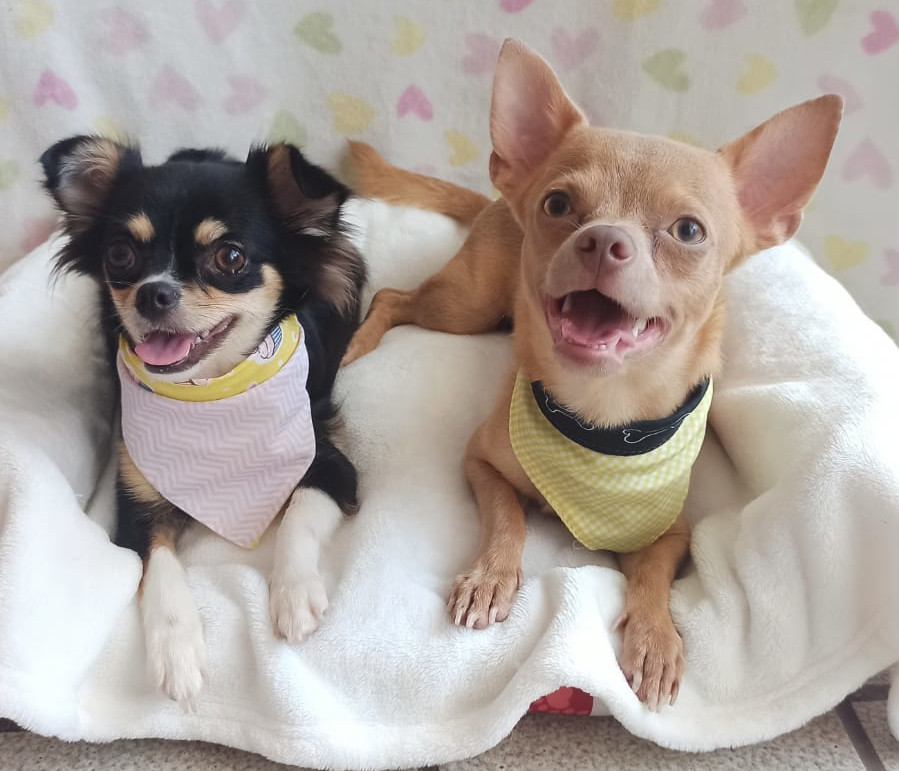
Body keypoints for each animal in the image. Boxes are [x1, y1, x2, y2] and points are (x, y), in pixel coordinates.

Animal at [41, 136, 366, 708]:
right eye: (120, 255)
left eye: (230, 257)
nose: (153, 292)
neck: (208, 395)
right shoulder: (136, 503)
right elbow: (160, 567)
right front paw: (177, 652)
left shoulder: (333, 466)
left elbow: (300, 510)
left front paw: (294, 593)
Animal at [341, 39, 842, 709]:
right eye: (558, 204)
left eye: (688, 231)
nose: (602, 240)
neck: (600, 414)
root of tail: (497, 197)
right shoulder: (480, 462)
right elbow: (507, 519)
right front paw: (491, 576)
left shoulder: (674, 531)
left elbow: (652, 574)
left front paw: (655, 638)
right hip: (466, 306)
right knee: (392, 297)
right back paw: (358, 342)